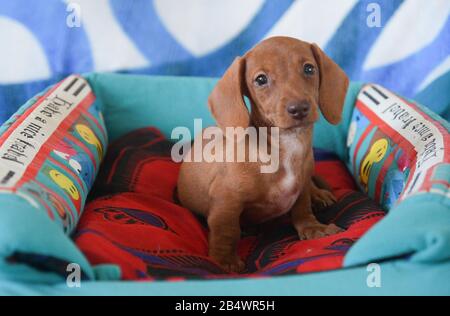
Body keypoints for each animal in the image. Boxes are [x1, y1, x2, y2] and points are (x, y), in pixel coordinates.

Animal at [178, 35, 350, 272]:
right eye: (260, 79)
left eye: (309, 68)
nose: (299, 109)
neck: (287, 146)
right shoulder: (226, 201)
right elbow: (226, 231)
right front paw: (225, 261)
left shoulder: (301, 186)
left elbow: (302, 207)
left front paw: (313, 227)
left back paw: (319, 195)